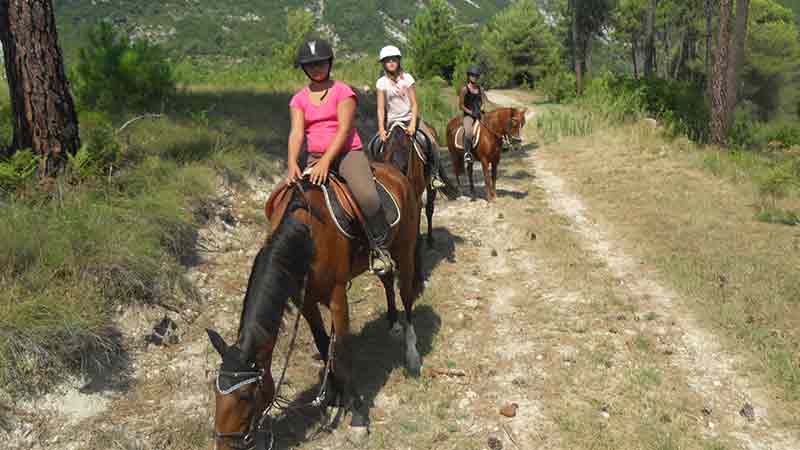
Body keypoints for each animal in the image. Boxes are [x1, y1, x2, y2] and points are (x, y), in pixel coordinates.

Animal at [205, 163, 418, 450]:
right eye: (216, 392)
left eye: (246, 396)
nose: (225, 445)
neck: (306, 236)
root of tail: (393, 171)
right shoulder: (303, 299)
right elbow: (323, 343)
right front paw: (335, 397)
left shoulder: (337, 296)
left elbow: (342, 350)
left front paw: (357, 415)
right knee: (386, 279)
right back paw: (393, 323)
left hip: (405, 249)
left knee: (407, 295)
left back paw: (412, 353)